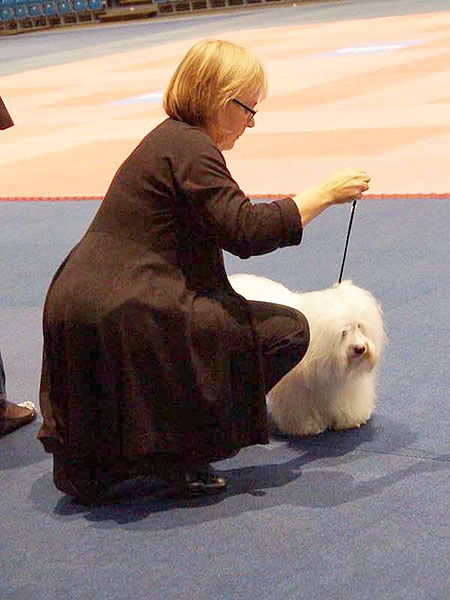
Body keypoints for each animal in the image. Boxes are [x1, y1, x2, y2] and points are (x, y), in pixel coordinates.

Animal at [229, 274, 386, 437]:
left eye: (359, 326)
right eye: (343, 332)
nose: (360, 348)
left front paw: (350, 419)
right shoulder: (297, 390)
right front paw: (306, 427)